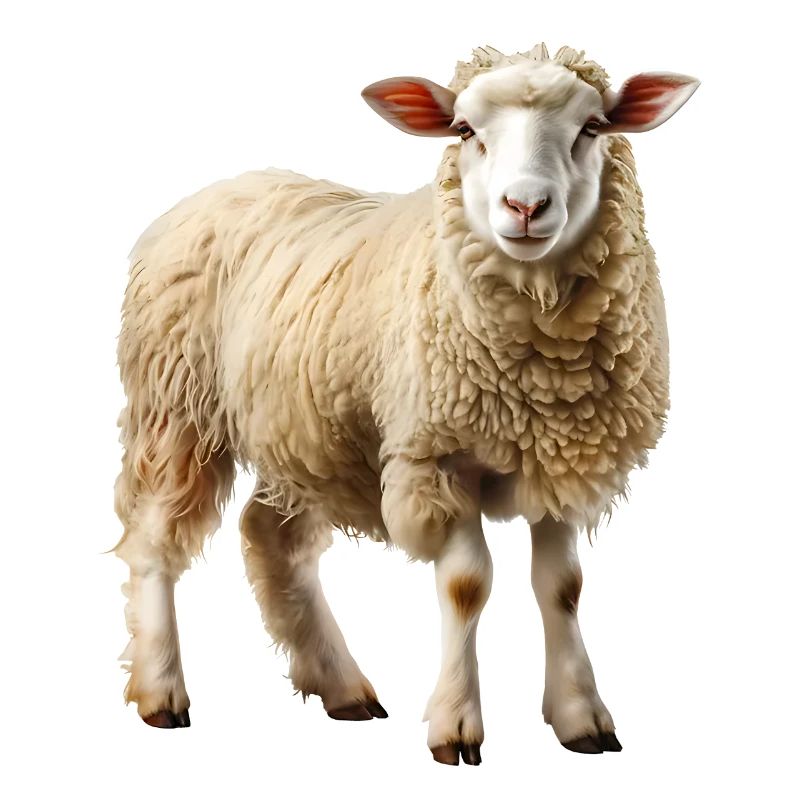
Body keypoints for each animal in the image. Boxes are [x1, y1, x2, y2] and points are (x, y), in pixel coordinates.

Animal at [113, 42, 699, 764]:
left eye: (592, 127)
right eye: (466, 131)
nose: (525, 206)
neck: (541, 378)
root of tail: (217, 188)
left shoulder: (559, 462)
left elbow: (561, 588)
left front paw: (581, 716)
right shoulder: (434, 458)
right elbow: (467, 585)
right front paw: (456, 725)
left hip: (309, 436)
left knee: (271, 538)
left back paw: (341, 686)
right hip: (177, 406)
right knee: (154, 540)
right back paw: (161, 691)